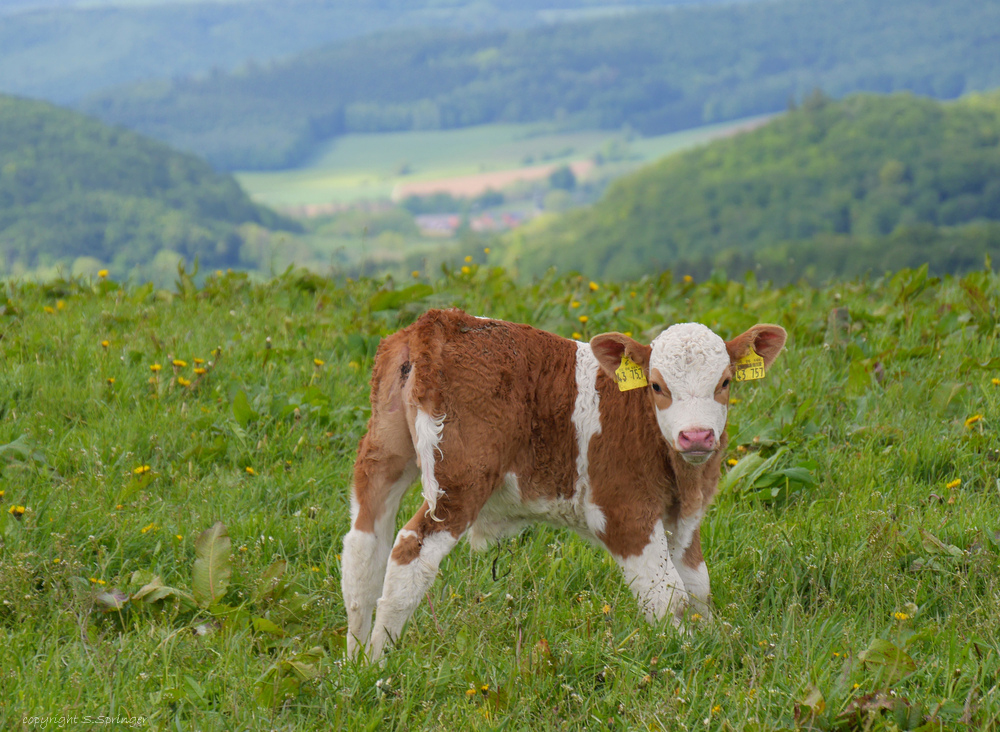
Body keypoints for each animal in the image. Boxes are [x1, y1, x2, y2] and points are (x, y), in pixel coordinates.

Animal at [340, 306, 784, 660]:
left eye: (725, 382)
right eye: (658, 386)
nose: (697, 436)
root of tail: (439, 322)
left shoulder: (686, 516)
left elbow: (697, 587)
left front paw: (712, 642)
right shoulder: (622, 513)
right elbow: (668, 596)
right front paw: (687, 657)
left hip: (384, 454)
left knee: (364, 545)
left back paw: (356, 660)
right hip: (458, 479)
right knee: (409, 551)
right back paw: (380, 662)